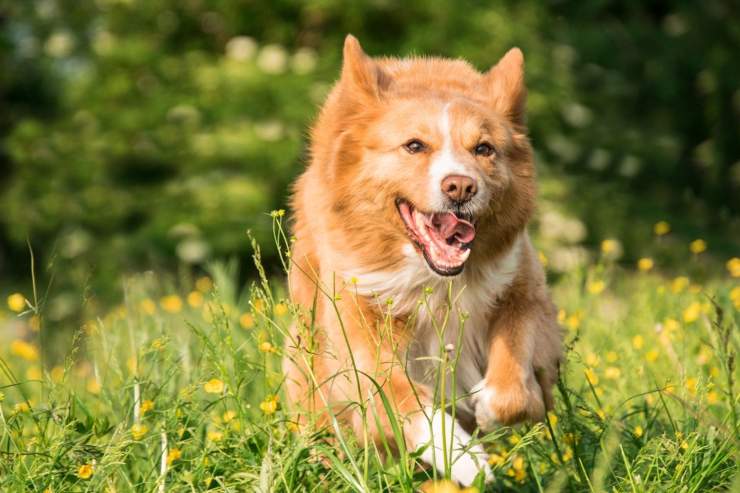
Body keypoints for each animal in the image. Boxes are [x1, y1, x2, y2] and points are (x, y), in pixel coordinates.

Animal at [284, 34, 560, 484]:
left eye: (484, 149)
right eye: (414, 145)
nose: (460, 187)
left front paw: (486, 406)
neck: (437, 282)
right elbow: (404, 402)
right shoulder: (359, 331)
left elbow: (514, 390)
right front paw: (464, 458)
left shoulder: (524, 290)